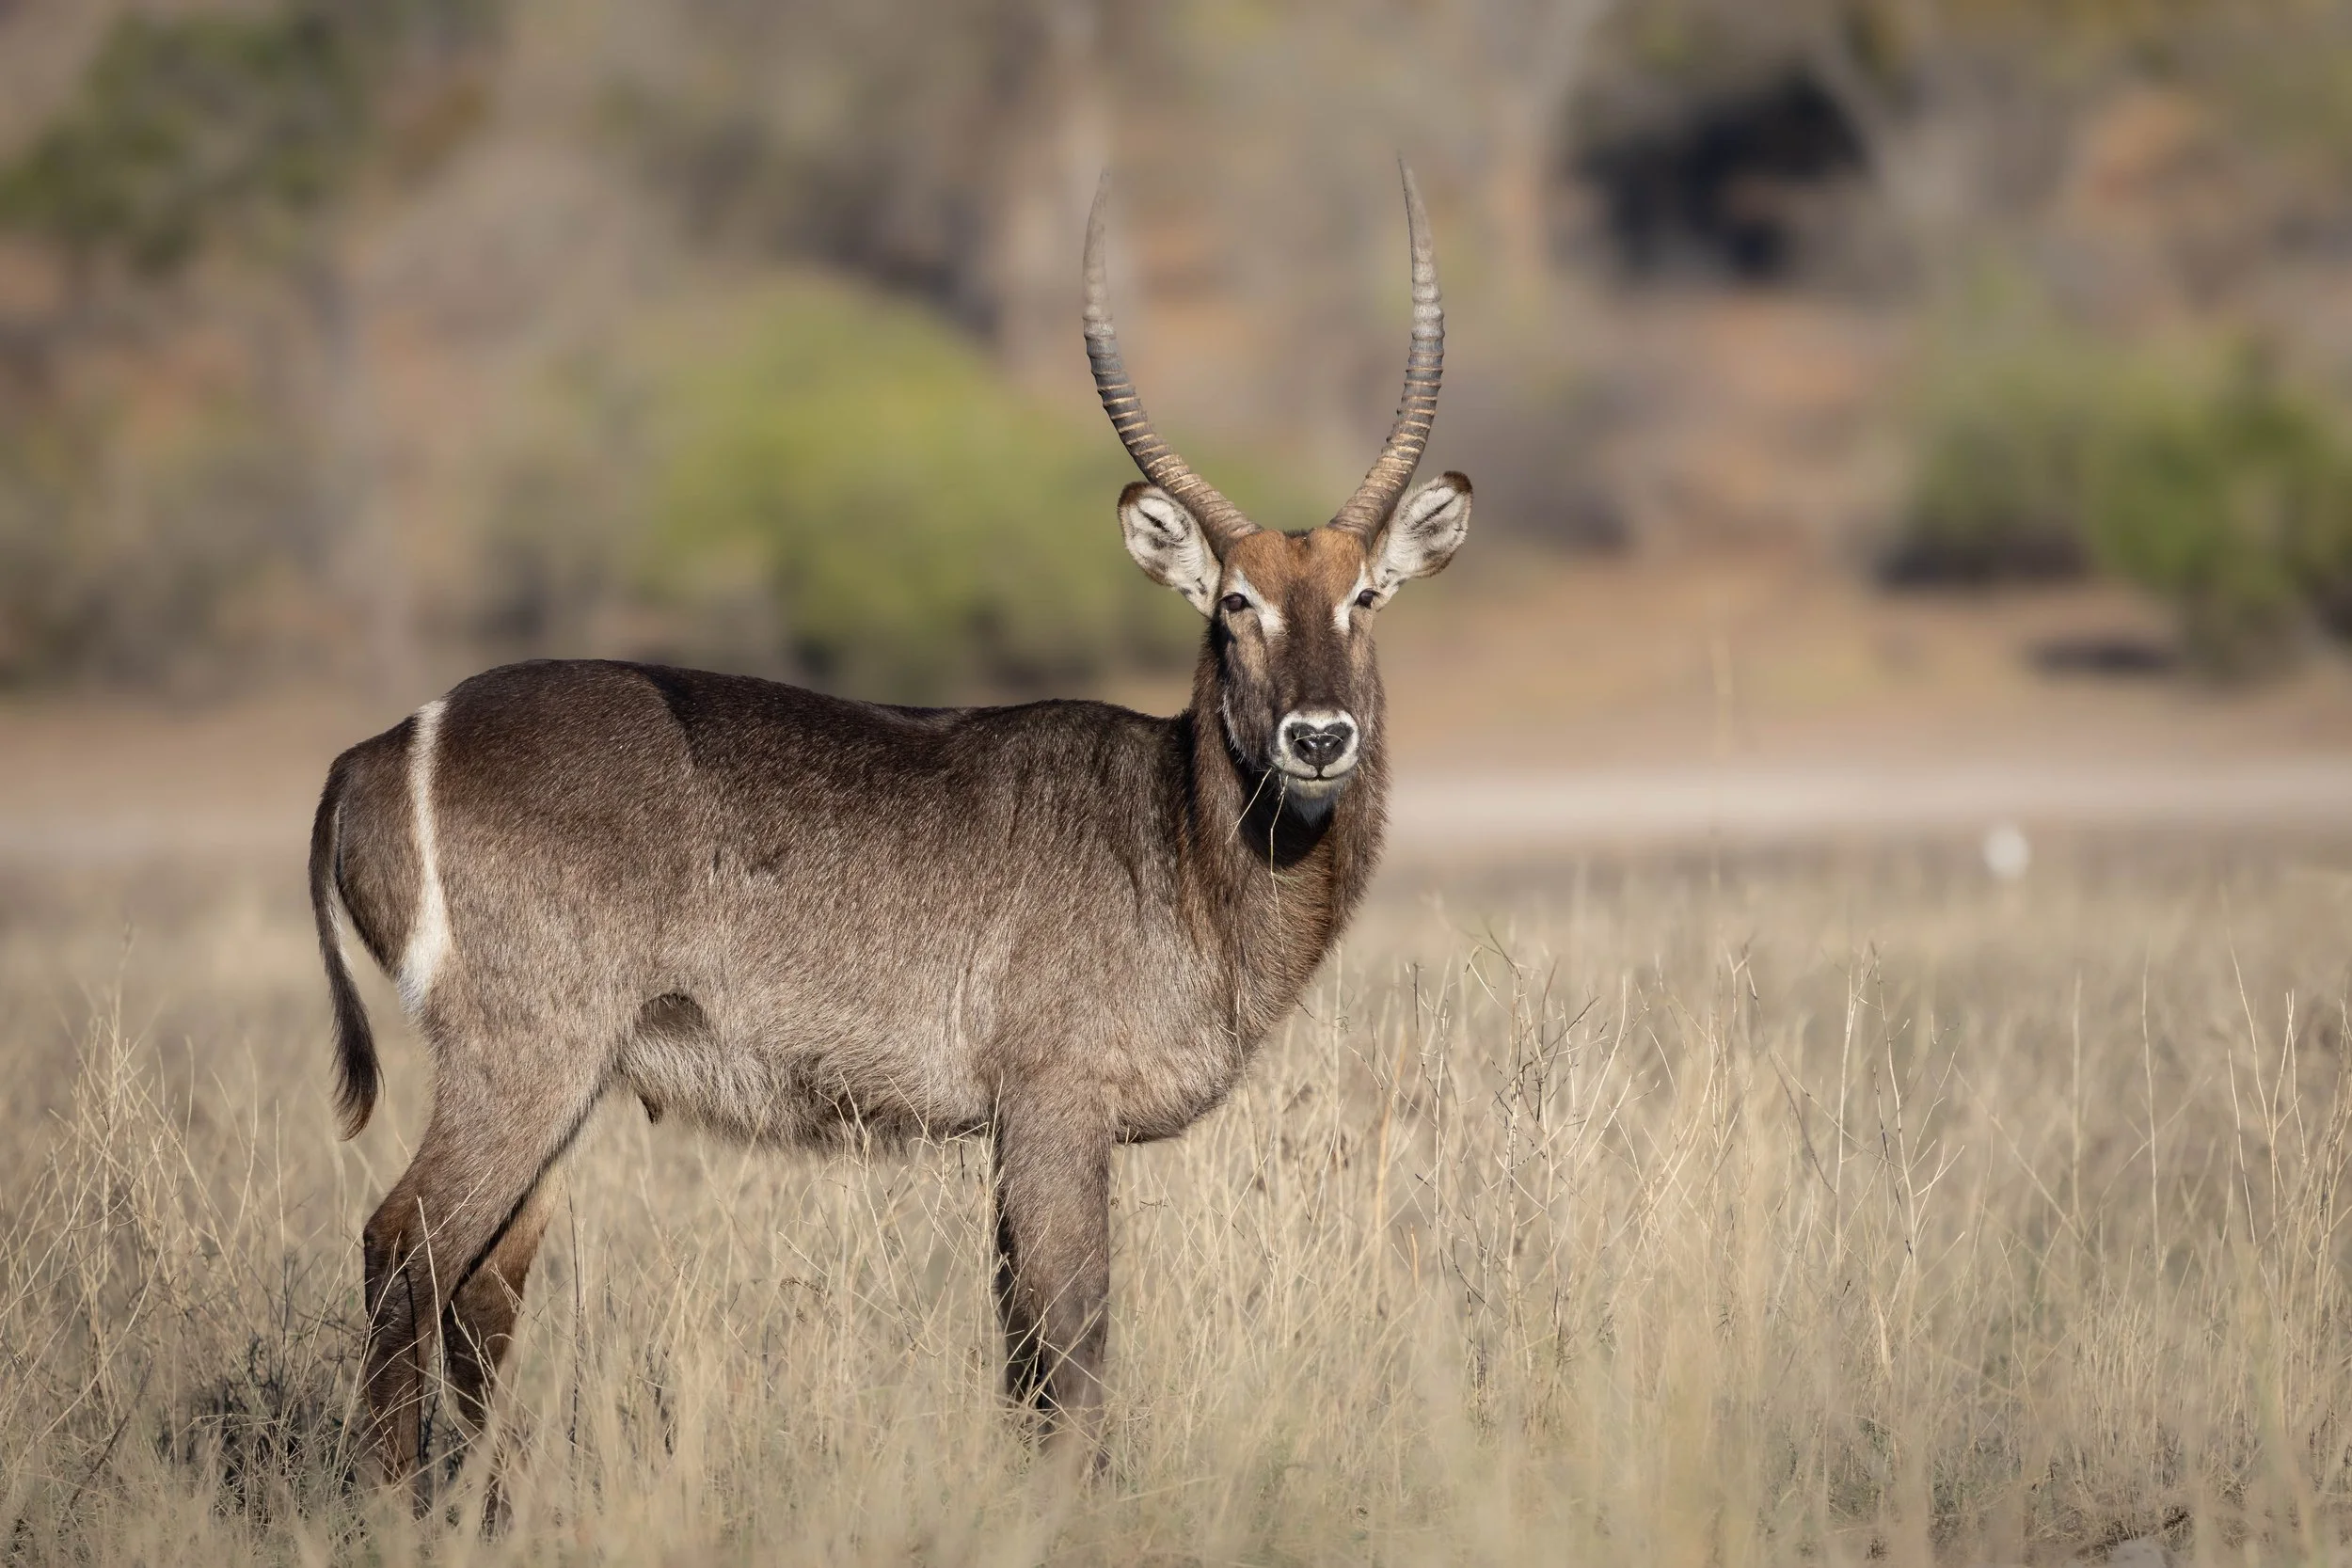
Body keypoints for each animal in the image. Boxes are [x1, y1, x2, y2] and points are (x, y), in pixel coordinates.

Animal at [308, 163, 1470, 1499]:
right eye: (1236, 605)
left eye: (1364, 595)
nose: (1318, 736)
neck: (1175, 837)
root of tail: (384, 741)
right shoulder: (1055, 1102)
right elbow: (1071, 1337)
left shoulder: (1014, 1128)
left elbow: (1020, 1345)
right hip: (526, 1052)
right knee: (403, 1247)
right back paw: (391, 1504)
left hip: (561, 1073)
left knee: (486, 1282)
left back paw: (484, 1505)